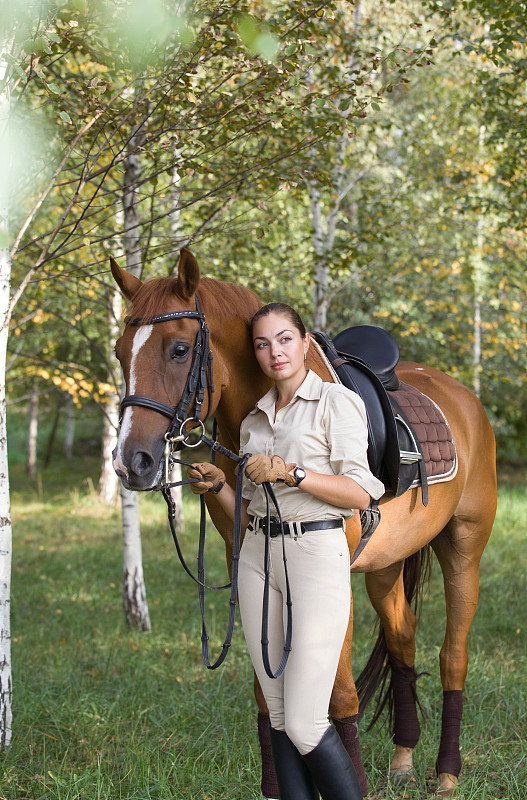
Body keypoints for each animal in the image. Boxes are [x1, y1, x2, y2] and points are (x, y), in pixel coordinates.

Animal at [109, 247, 498, 796]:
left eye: (180, 349)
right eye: (121, 352)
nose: (131, 462)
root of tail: (466, 400)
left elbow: (339, 699)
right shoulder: (251, 568)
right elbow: (265, 696)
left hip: (463, 548)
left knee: (452, 656)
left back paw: (446, 772)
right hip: (385, 566)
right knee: (403, 638)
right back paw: (403, 755)